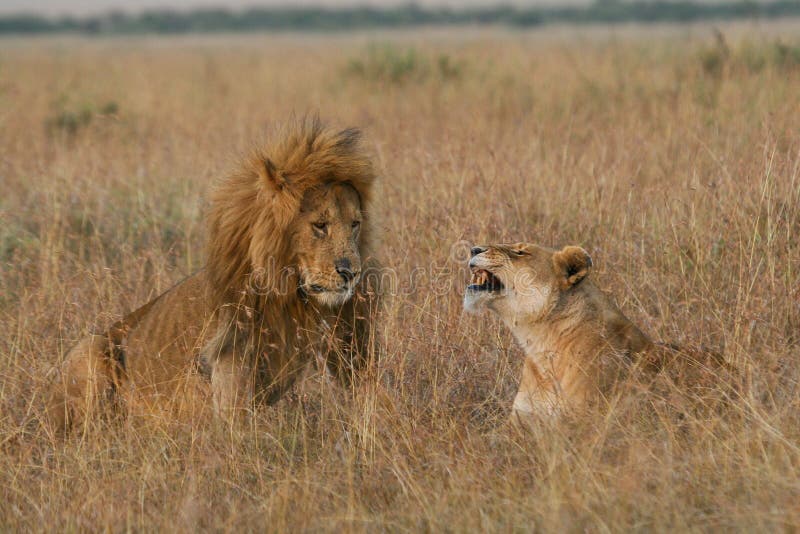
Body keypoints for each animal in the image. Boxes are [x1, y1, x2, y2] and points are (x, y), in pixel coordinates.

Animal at [49, 118, 382, 436]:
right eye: (320, 225)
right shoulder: (230, 355)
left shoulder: (344, 338)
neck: (291, 293)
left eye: (355, 224)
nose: (351, 273)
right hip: (90, 348)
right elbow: (235, 422)